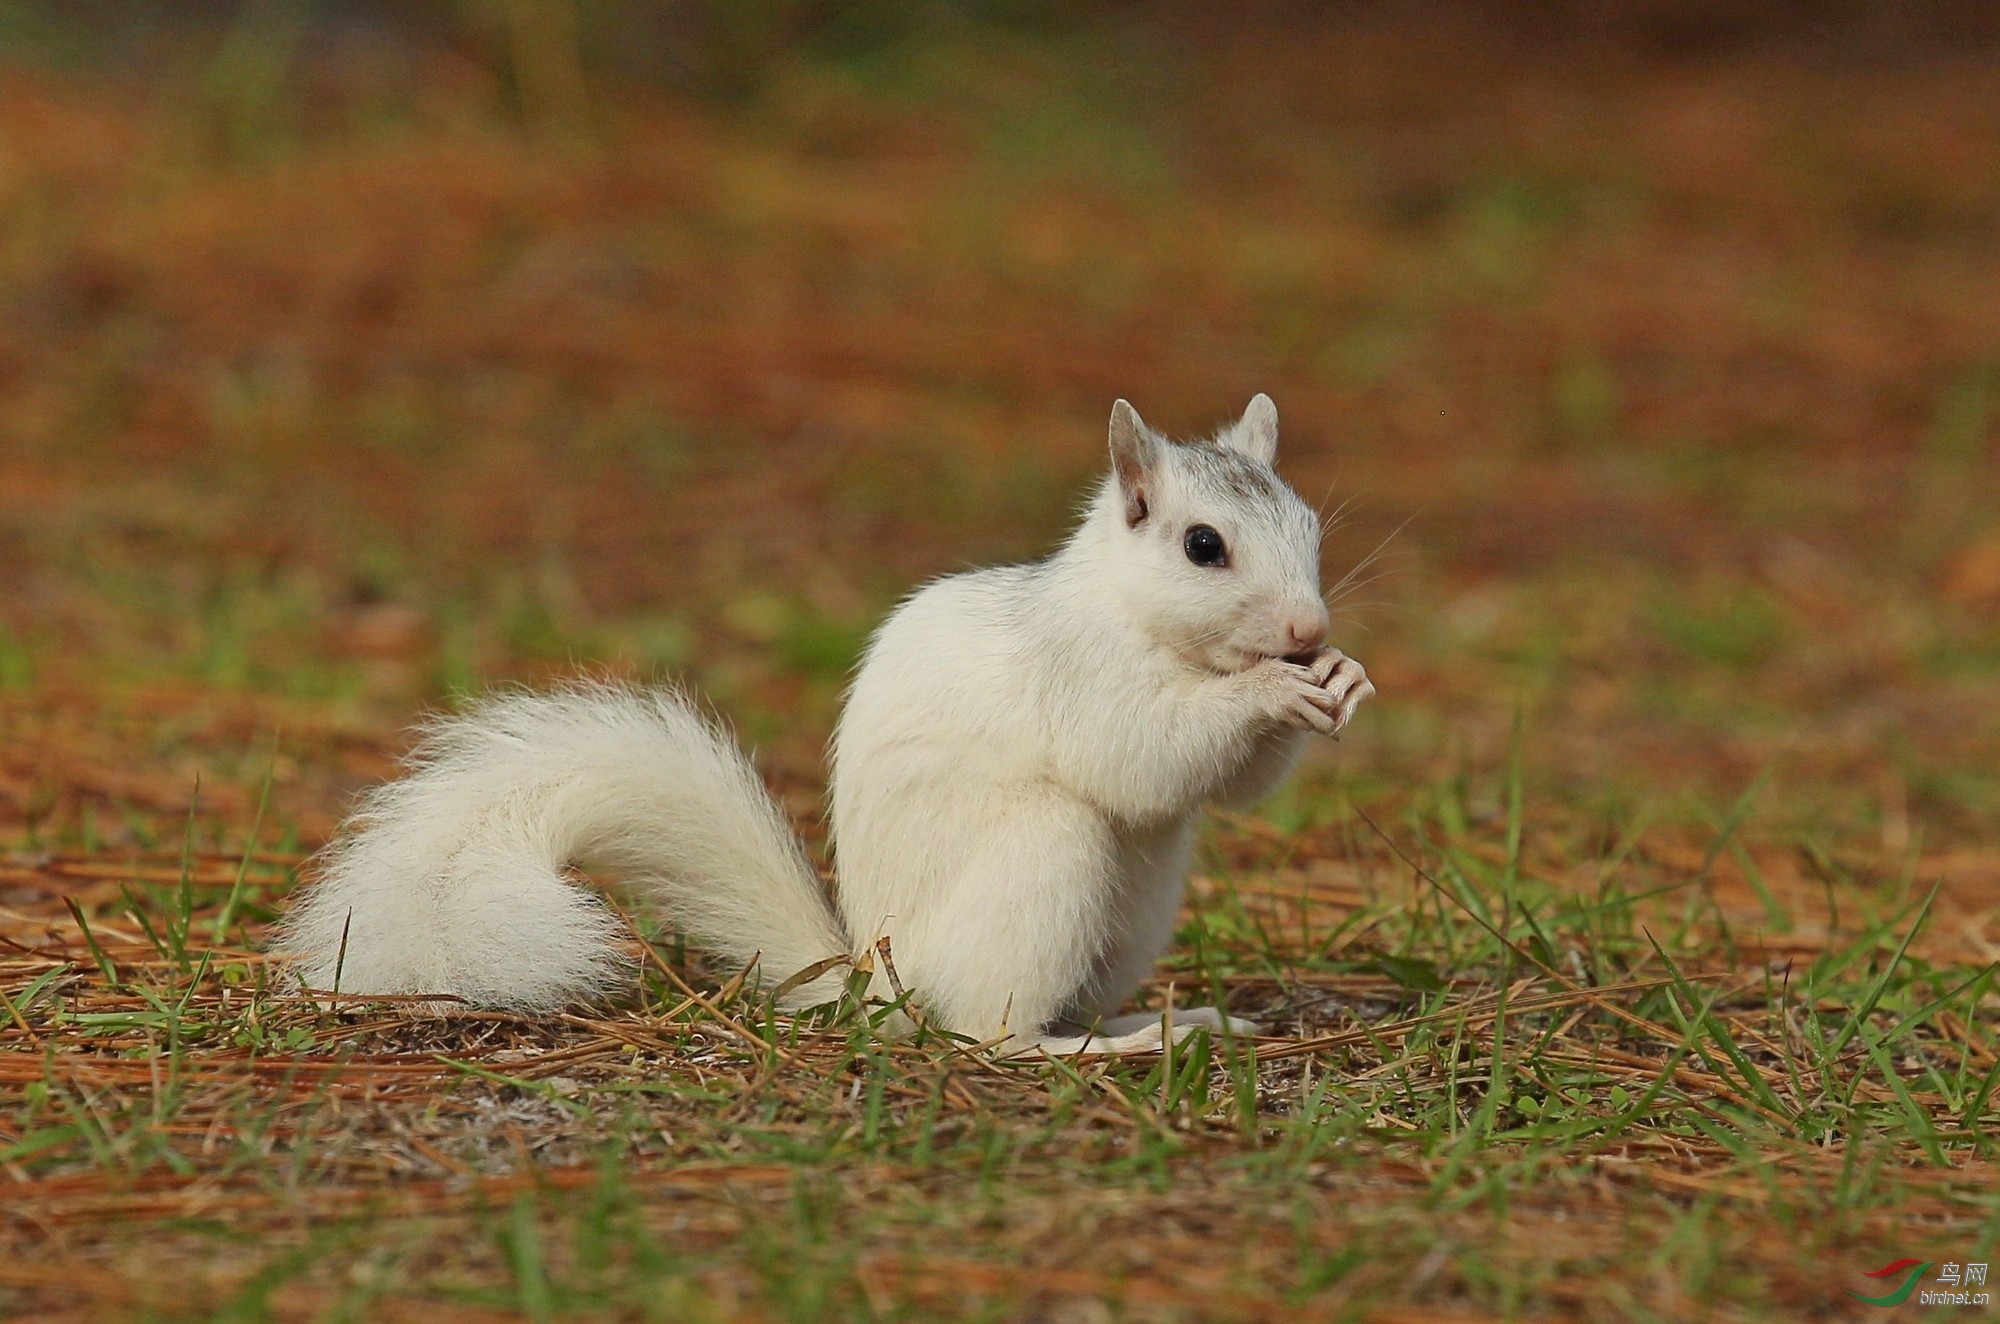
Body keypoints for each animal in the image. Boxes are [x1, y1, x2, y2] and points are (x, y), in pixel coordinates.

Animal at [274, 394, 1376, 1056]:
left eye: (1310, 532)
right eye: (1202, 546)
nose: (1307, 629)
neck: (1134, 614)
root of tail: (879, 984)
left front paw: (1342, 677)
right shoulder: (1081, 676)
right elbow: (1140, 754)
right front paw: (1269, 691)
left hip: (1136, 914)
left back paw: (1172, 1016)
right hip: (1049, 865)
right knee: (989, 1031)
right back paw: (1102, 1045)